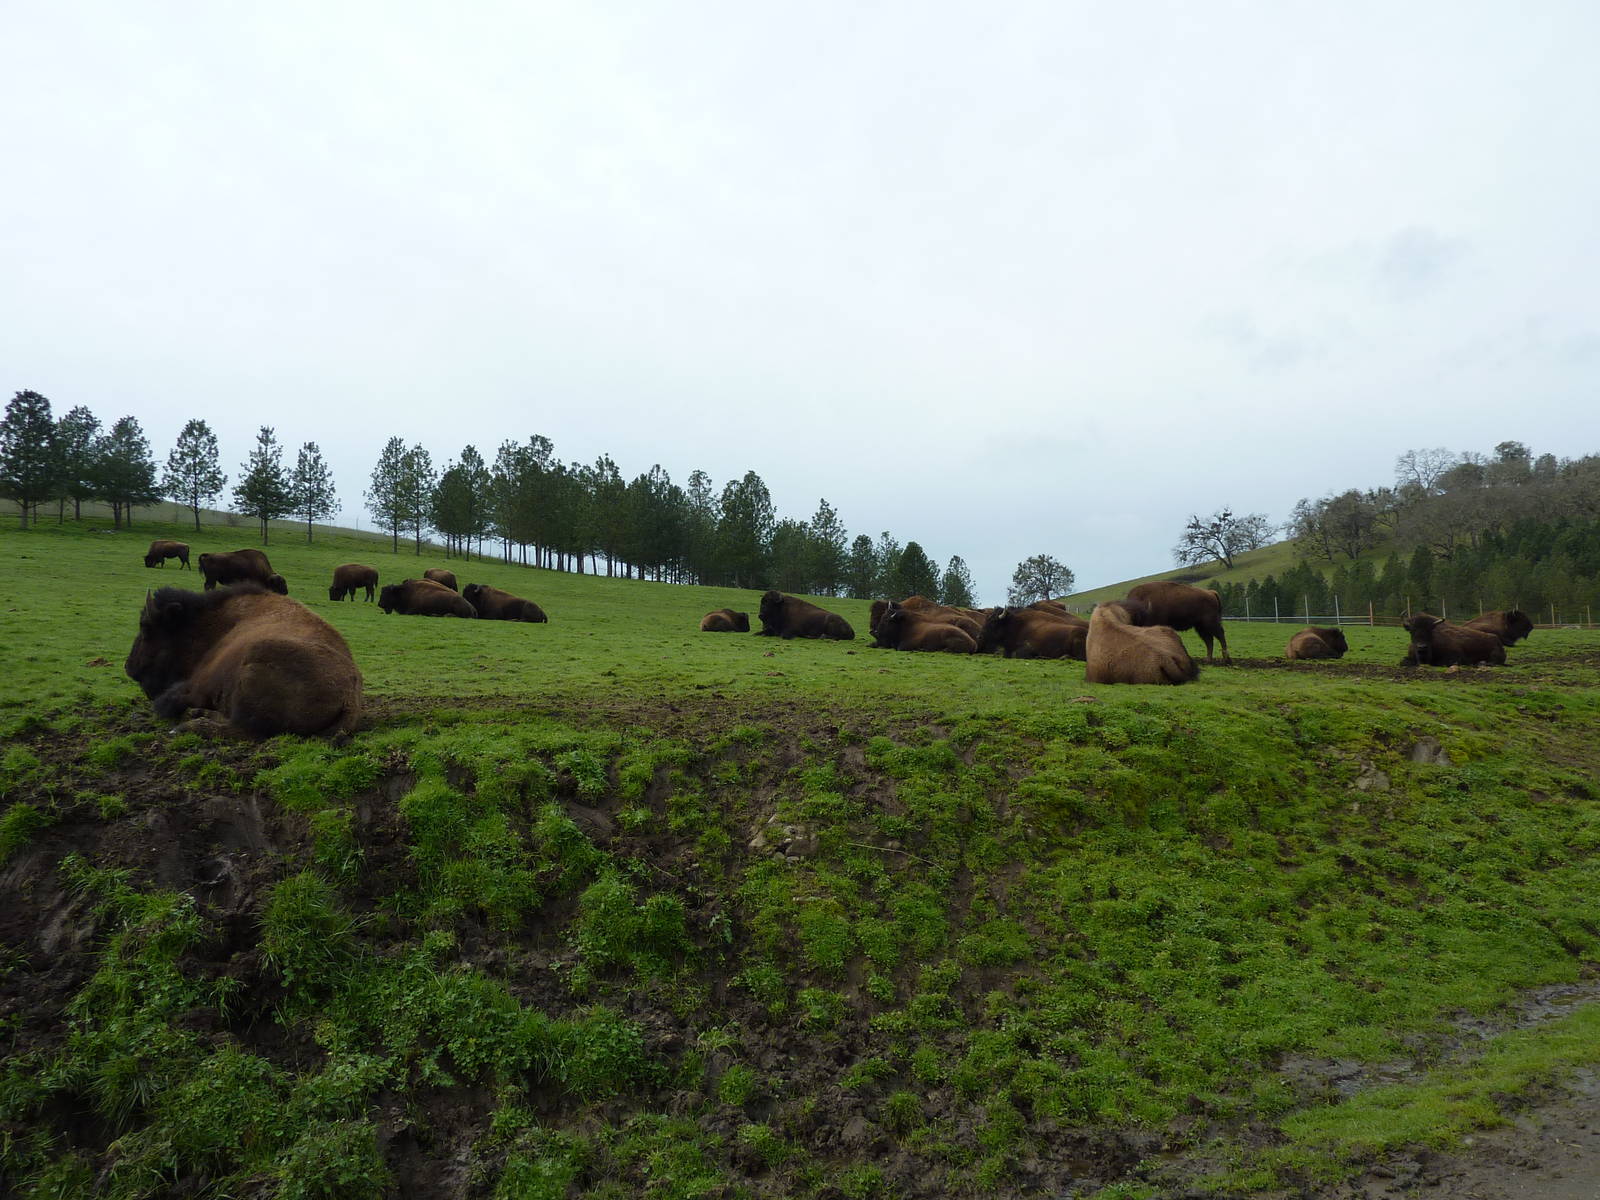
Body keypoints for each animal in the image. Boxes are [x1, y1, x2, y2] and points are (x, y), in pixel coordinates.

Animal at [124, 584, 362, 737]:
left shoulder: (197, 686)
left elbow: (166, 702)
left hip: (256, 658)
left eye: (145, 627)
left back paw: (186, 726)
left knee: (241, 728)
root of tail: (350, 697)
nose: (129, 667)